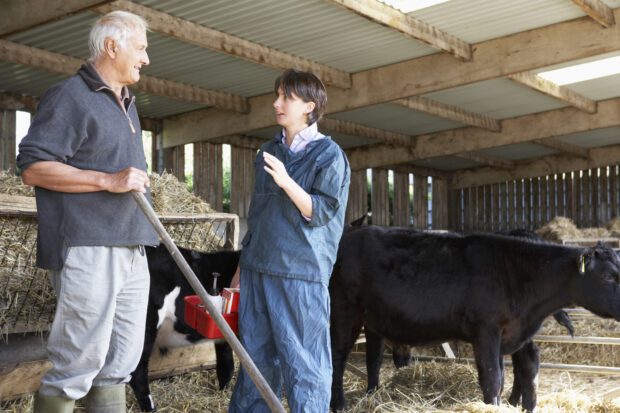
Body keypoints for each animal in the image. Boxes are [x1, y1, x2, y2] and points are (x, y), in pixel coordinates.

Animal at [130, 246, 240, 410]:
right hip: (145, 325)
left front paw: (222, 392)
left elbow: (226, 365)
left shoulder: (224, 337)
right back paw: (151, 408)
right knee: (137, 371)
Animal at [330, 227, 620, 410]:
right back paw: (339, 404)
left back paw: (372, 395)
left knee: (373, 359)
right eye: (607, 276)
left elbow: (515, 371)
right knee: (338, 355)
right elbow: (493, 379)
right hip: (343, 310)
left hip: (372, 318)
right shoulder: (486, 331)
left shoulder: (510, 333)